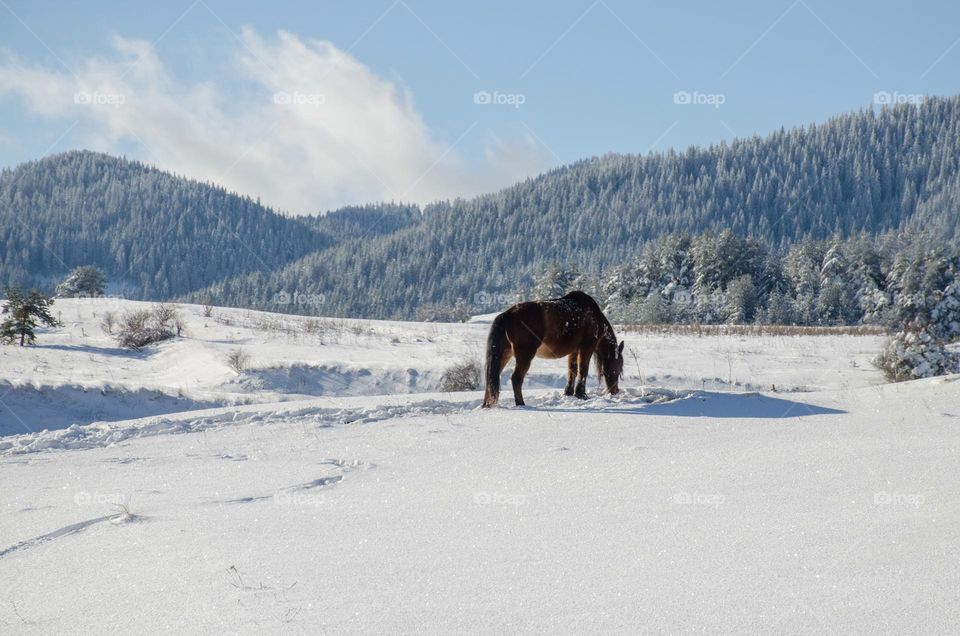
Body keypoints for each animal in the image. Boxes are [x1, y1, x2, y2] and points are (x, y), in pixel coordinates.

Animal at [484, 290, 628, 408]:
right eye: (618, 368)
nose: (615, 391)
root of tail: (507, 314)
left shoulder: (574, 350)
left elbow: (572, 370)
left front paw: (569, 393)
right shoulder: (587, 346)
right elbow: (583, 370)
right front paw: (581, 395)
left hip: (505, 353)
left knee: (491, 377)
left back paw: (487, 404)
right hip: (525, 355)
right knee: (516, 378)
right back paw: (521, 404)